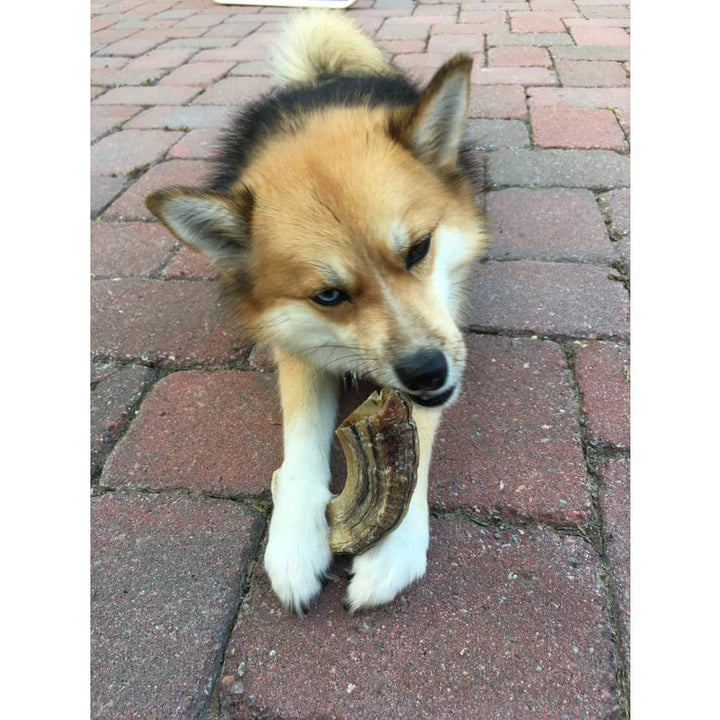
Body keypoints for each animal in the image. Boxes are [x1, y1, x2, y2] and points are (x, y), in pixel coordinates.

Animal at [144, 9, 486, 612]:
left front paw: (395, 544)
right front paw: (295, 539)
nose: (427, 372)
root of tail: (324, 78)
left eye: (419, 249)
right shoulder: (296, 340)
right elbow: (301, 442)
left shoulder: (447, 328)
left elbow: (417, 440)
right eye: (328, 296)